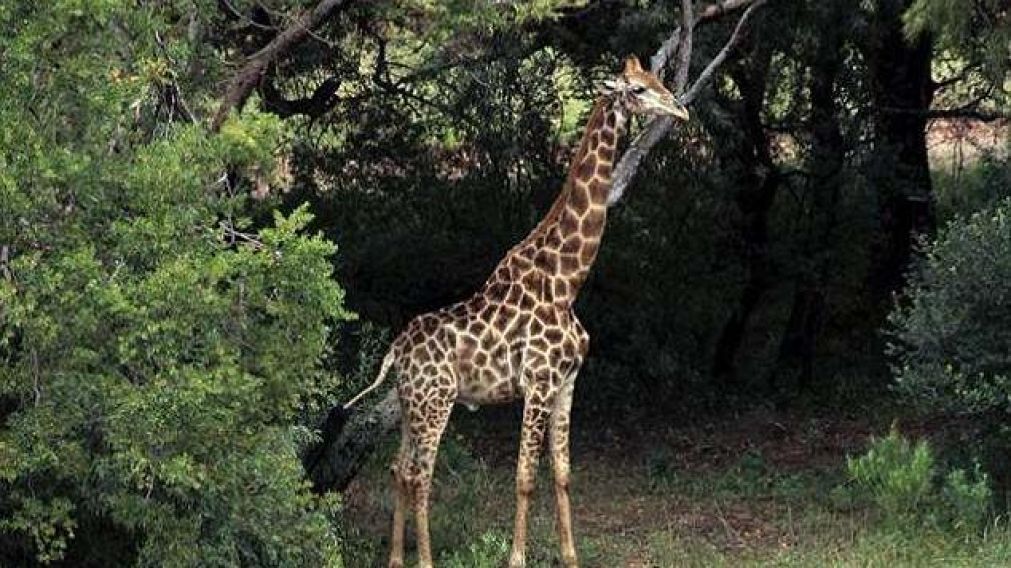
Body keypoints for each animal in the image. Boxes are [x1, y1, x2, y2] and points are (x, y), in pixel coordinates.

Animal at [343, 55, 689, 568]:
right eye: (638, 90)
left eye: (658, 80)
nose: (681, 110)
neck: (566, 284)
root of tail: (394, 352)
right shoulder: (538, 385)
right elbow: (525, 478)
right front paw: (517, 558)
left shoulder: (567, 383)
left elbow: (563, 473)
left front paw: (570, 556)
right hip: (436, 401)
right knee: (420, 475)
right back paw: (424, 560)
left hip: (410, 404)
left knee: (397, 467)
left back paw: (396, 560)